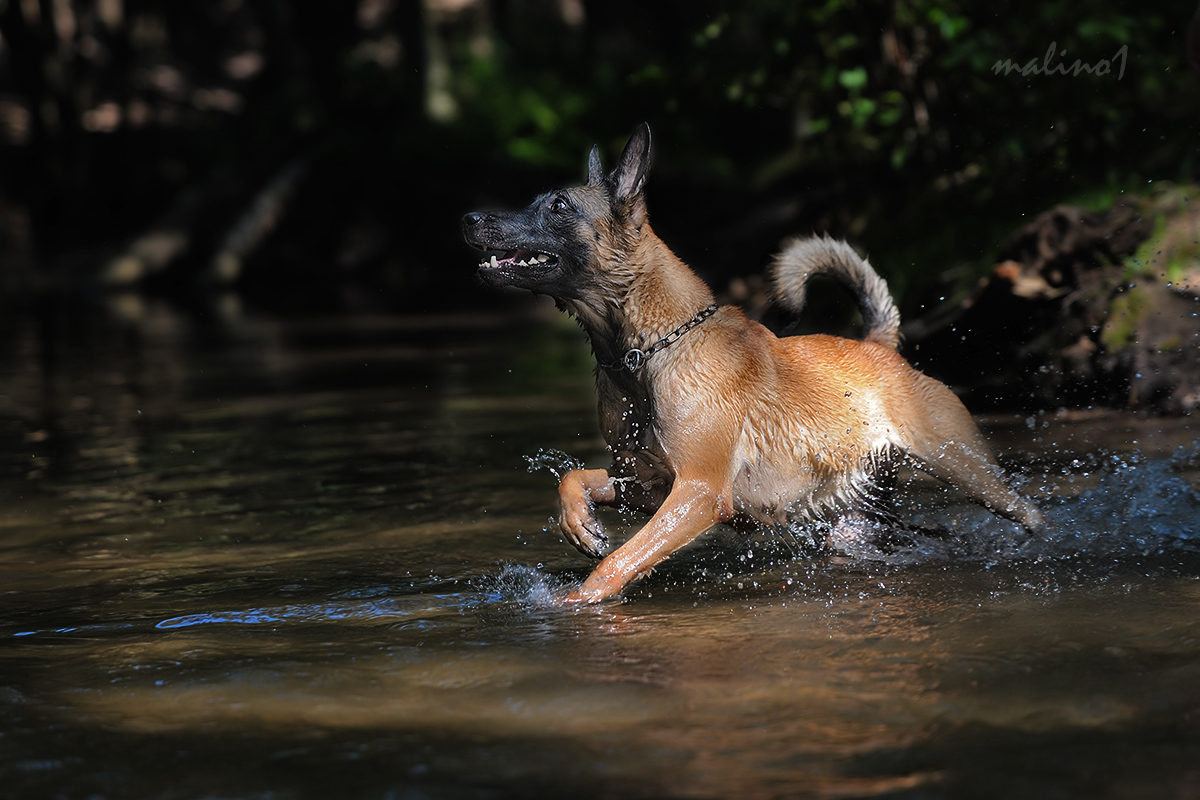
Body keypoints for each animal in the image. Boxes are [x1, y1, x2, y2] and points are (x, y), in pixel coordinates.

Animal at [463, 123, 1046, 599]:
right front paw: (580, 524)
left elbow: (615, 565)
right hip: (855, 522)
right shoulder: (648, 485)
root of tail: (879, 346)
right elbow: (575, 479)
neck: (646, 353)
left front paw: (571, 603)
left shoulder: (697, 494)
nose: (469, 217)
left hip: (966, 468)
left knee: (1029, 513)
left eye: (559, 206)